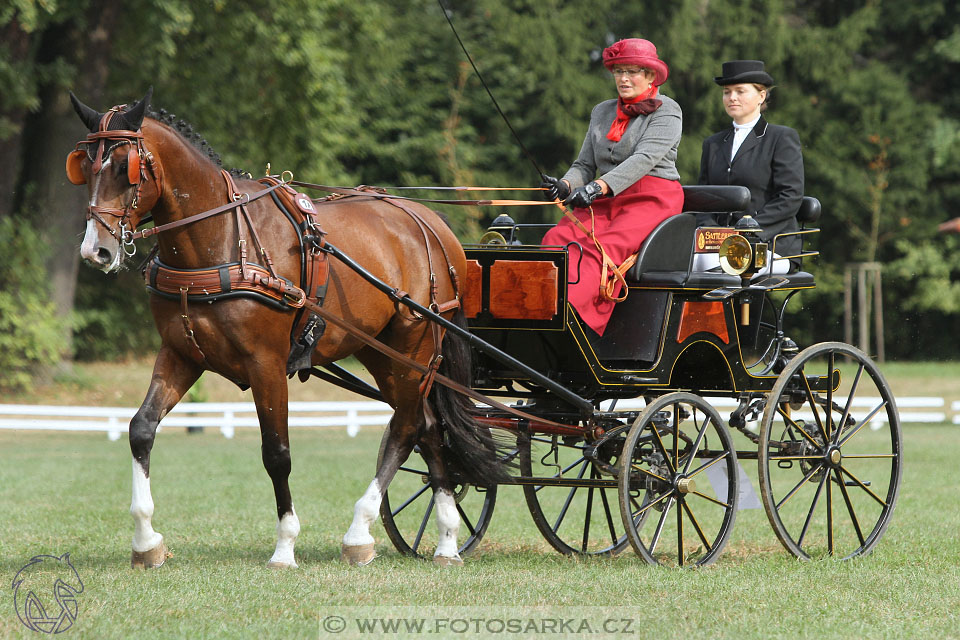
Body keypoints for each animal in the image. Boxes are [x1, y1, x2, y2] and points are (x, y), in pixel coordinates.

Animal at [66, 89, 502, 564]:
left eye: (124, 167)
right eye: (85, 165)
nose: (96, 251)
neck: (221, 237)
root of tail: (432, 223)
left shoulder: (267, 362)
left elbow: (276, 452)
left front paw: (285, 545)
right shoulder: (182, 353)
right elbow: (141, 429)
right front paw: (147, 541)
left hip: (414, 348)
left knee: (407, 426)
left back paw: (363, 531)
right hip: (381, 352)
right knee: (427, 424)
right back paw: (444, 538)